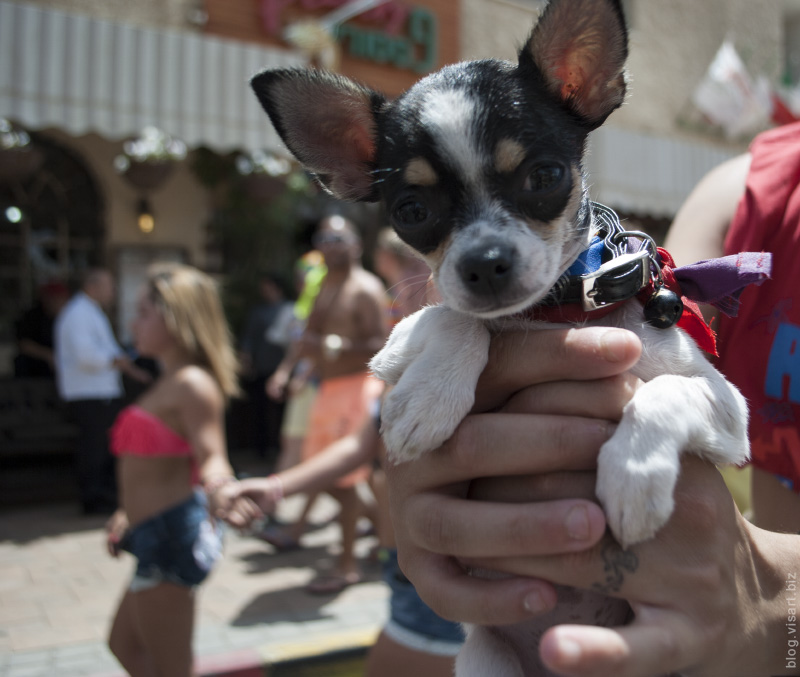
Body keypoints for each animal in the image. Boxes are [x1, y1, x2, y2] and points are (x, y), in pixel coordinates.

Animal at [250, 0, 750, 673]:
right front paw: (428, 398)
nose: (484, 264)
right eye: (411, 211)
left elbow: (663, 391)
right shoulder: (423, 319)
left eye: (545, 176)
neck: (558, 316)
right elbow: (453, 317)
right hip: (484, 657)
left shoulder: (729, 414)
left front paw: (633, 474)